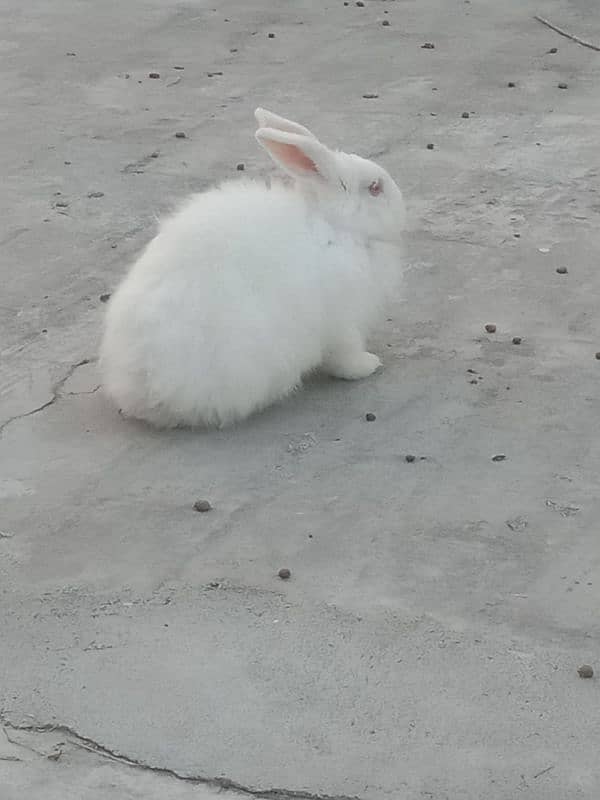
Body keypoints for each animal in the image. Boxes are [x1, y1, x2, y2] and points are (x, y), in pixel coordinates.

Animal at [101, 111, 406, 432]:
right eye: (375, 188)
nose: (401, 208)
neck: (335, 225)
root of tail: (141, 390)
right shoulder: (342, 321)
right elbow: (344, 354)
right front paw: (367, 365)